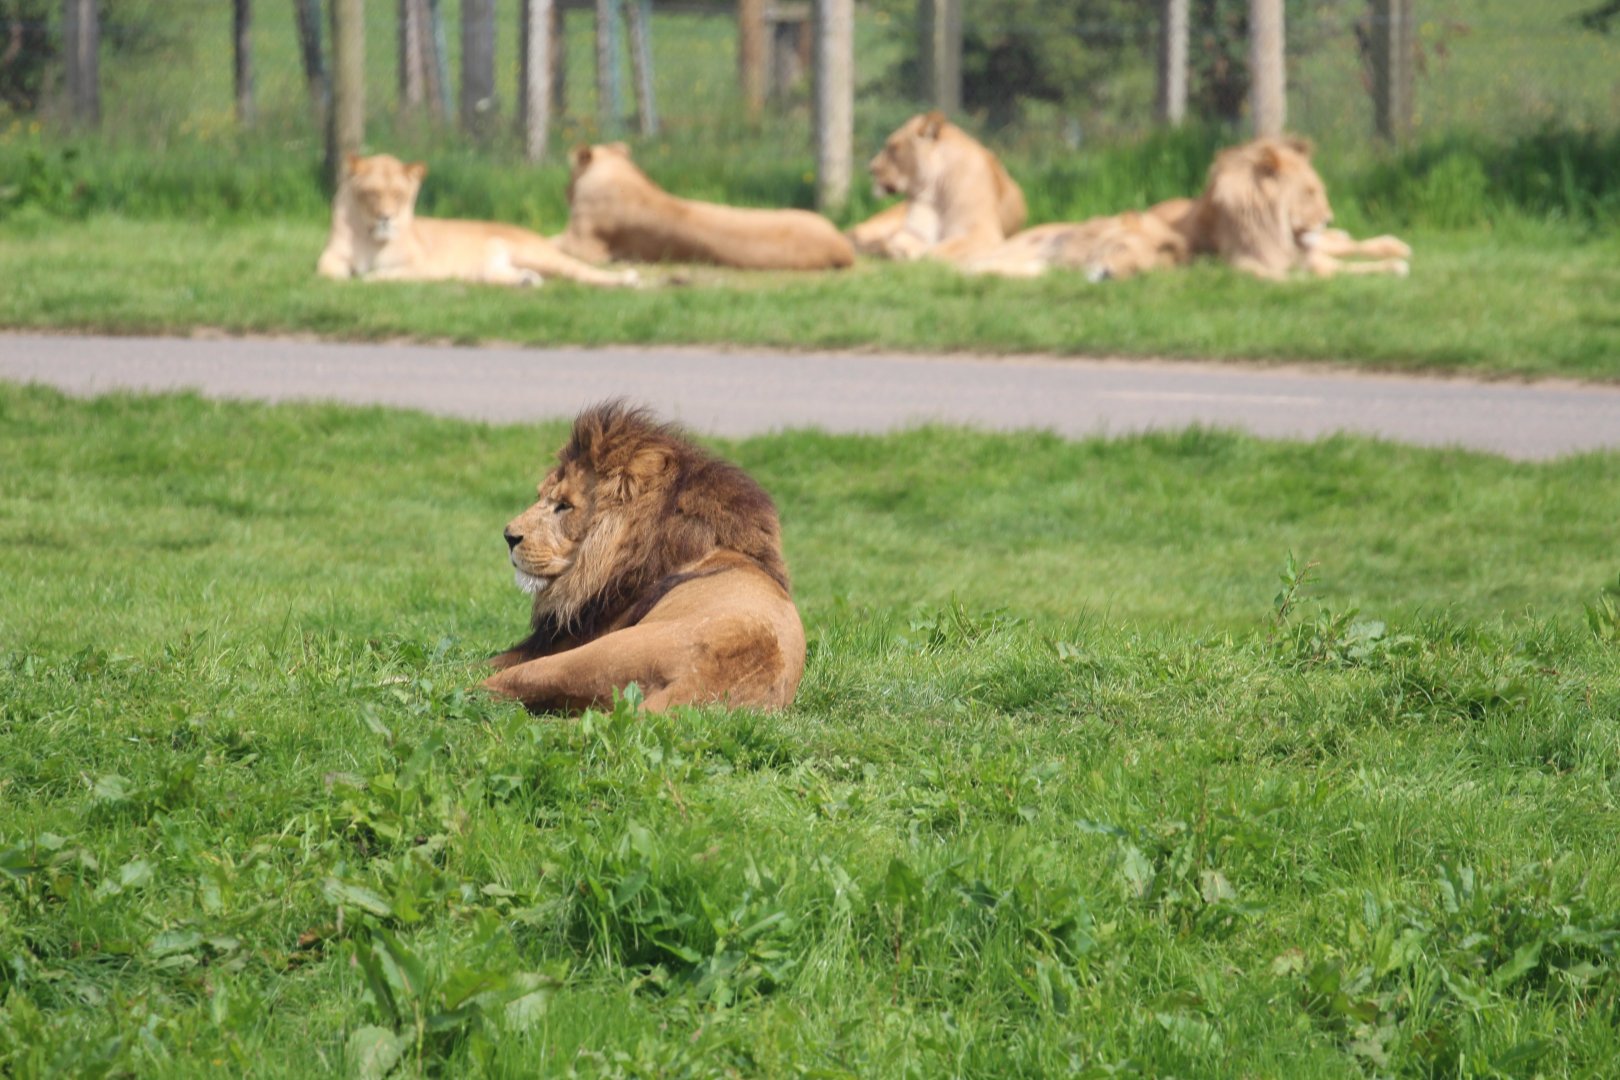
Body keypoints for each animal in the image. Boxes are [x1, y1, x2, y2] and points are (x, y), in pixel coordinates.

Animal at [316, 153, 638, 288]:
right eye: (371, 193)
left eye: (398, 194)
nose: (386, 217)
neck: (369, 236)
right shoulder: (330, 256)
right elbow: (327, 271)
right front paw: (341, 278)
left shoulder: (425, 267)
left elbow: (382, 275)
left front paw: (365, 278)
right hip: (494, 269)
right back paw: (525, 281)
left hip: (541, 256)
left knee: (584, 273)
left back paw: (628, 280)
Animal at [554, 142, 854, 271]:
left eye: (568, 174)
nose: (564, 191)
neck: (622, 175)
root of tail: (841, 245)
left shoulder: (584, 245)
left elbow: (556, 241)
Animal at [846, 111, 1027, 264]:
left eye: (893, 147)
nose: (871, 168)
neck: (935, 192)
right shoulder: (915, 232)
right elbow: (902, 241)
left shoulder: (985, 234)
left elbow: (940, 249)